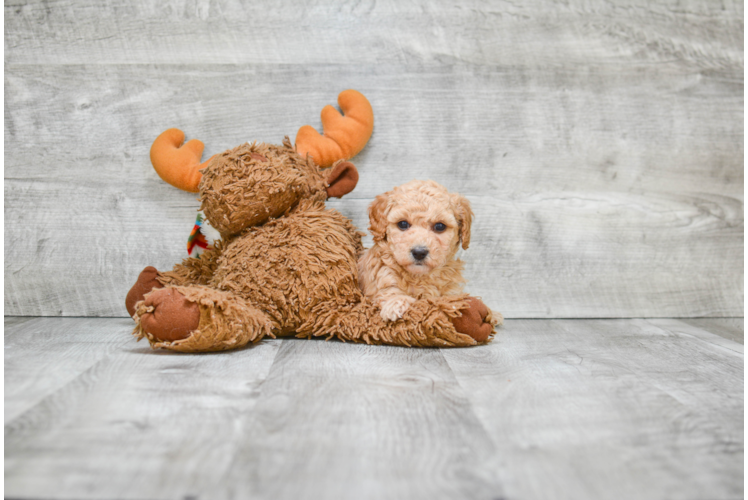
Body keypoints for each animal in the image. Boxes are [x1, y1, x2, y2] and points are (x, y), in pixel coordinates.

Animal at [358, 180, 474, 320]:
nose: (419, 253)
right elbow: (389, 290)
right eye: (403, 224)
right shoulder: (383, 275)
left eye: (440, 226)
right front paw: (396, 302)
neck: (419, 277)